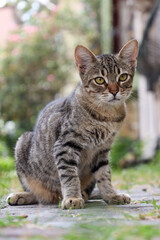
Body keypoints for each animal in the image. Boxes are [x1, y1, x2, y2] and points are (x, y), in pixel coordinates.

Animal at [7, 39, 139, 208]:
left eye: (122, 77)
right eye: (99, 80)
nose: (114, 91)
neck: (107, 116)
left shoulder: (102, 150)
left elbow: (105, 175)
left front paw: (111, 195)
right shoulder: (66, 144)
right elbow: (70, 175)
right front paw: (72, 198)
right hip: (22, 143)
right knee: (39, 195)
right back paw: (21, 195)